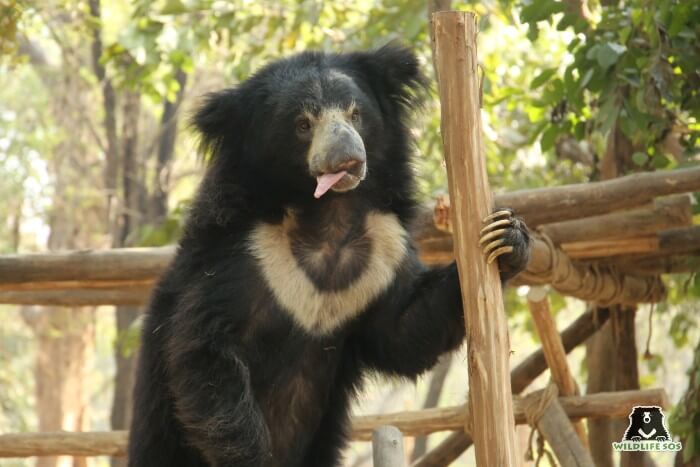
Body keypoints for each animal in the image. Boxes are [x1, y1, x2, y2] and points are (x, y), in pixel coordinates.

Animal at [127, 44, 532, 467]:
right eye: (303, 124)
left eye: (355, 114)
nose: (348, 157)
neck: (328, 216)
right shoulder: (240, 254)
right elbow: (206, 352)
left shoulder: (381, 257)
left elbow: (403, 331)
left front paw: (507, 238)